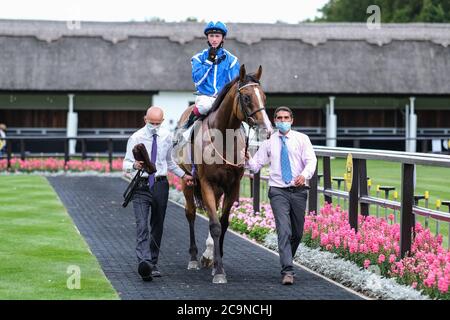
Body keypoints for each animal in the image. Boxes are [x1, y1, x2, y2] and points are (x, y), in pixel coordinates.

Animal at [172, 64, 272, 282]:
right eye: (246, 98)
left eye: (264, 96)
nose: (266, 130)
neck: (222, 139)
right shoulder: (206, 183)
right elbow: (215, 225)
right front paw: (219, 271)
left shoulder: (232, 185)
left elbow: (223, 223)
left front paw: (217, 260)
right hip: (187, 181)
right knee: (191, 213)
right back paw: (194, 258)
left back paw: (208, 254)